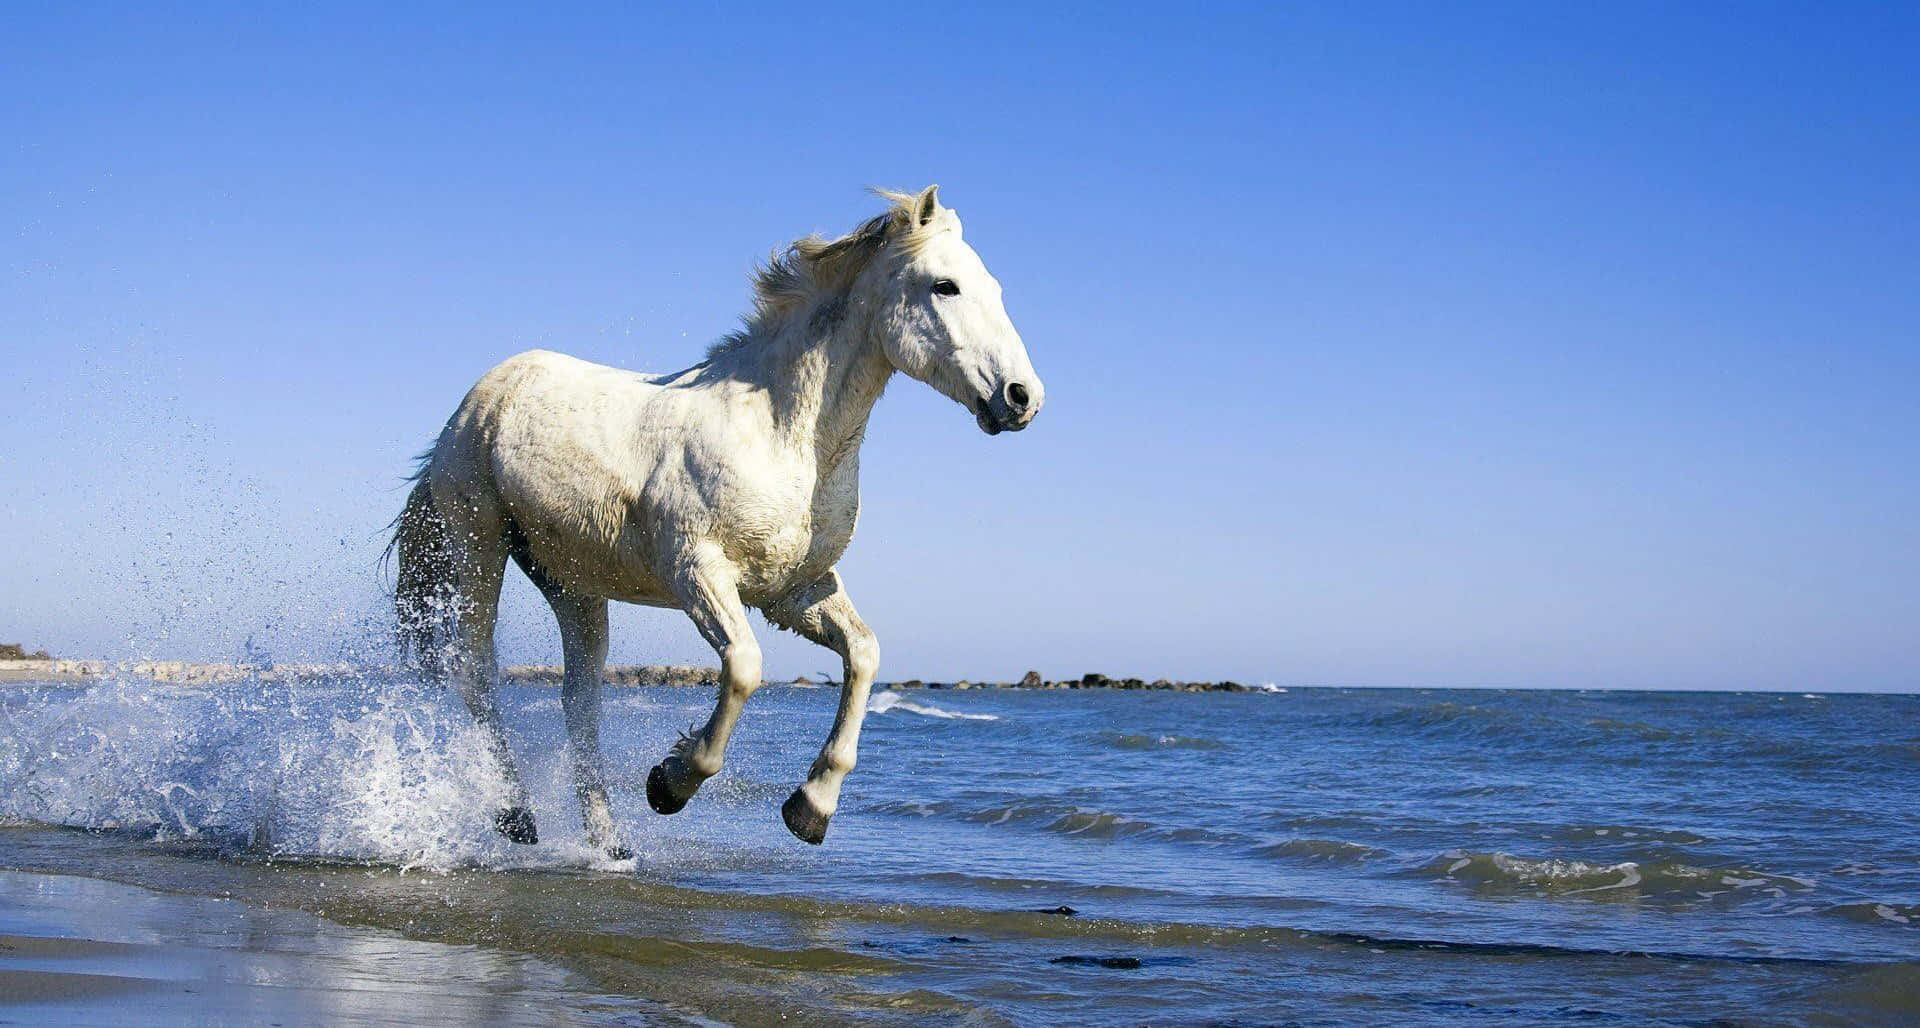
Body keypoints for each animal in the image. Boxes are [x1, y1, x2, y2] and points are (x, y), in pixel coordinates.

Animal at [389, 186, 1044, 859]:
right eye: (945, 286)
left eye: (993, 288)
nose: (1022, 397)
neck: (782, 434)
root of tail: (477, 399)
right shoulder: (698, 571)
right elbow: (746, 668)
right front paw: (669, 783)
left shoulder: (795, 590)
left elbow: (863, 655)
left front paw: (811, 809)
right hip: (478, 544)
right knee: (475, 671)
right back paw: (516, 815)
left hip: (573, 583)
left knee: (580, 702)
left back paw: (610, 845)